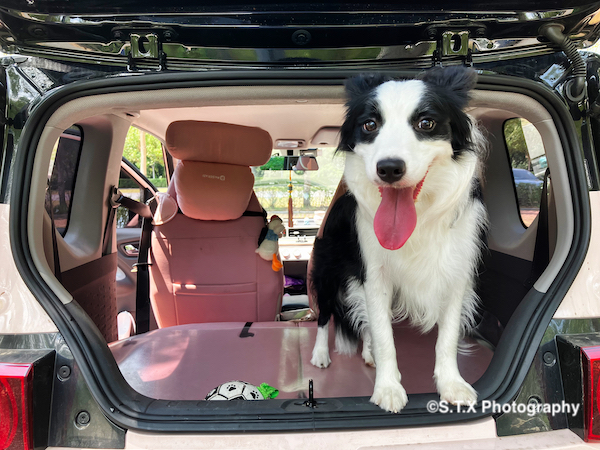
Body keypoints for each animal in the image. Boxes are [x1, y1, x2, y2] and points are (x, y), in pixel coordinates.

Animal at [310, 65, 488, 414]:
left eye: (426, 123)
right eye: (369, 125)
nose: (389, 169)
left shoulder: (456, 271)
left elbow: (446, 336)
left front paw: (452, 385)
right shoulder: (374, 273)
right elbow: (384, 336)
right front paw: (388, 389)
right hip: (327, 271)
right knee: (325, 315)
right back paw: (321, 355)